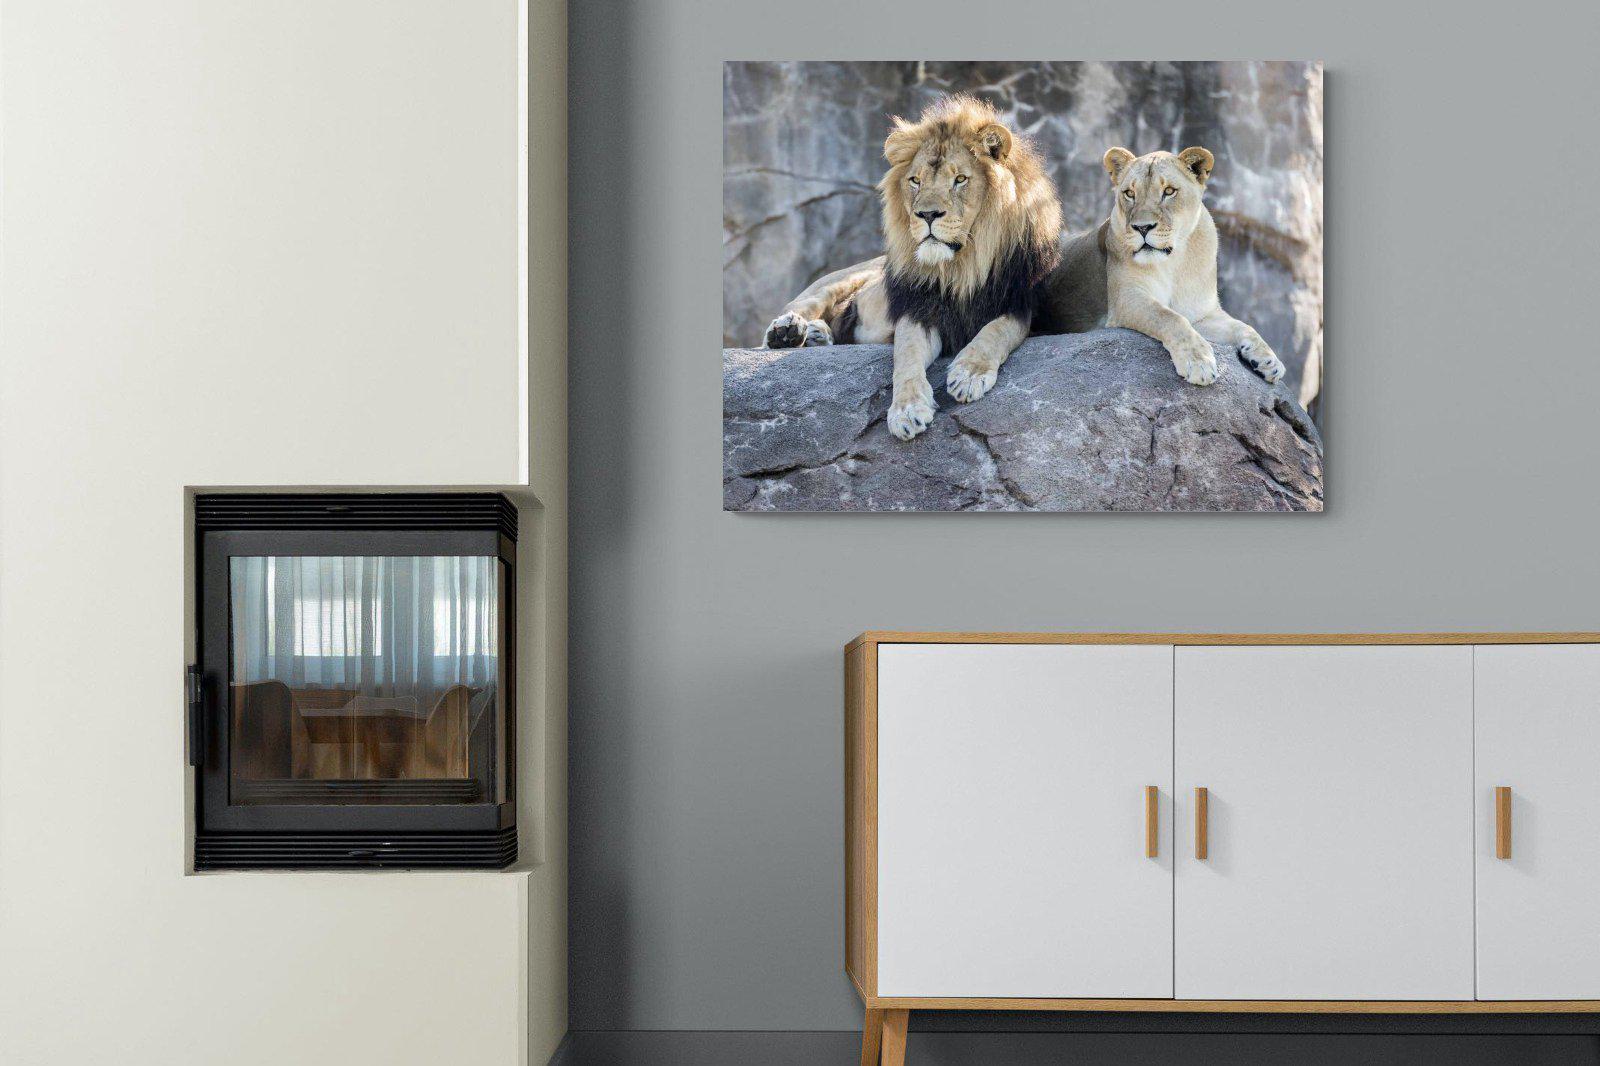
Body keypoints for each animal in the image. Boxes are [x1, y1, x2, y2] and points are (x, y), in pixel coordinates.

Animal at [760, 95, 1062, 440]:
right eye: (915, 181)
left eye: (960, 179)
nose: (927, 214)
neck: (961, 267)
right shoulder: (918, 310)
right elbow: (906, 355)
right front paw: (906, 410)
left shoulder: (1020, 305)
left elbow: (996, 331)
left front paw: (969, 374)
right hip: (837, 281)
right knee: (800, 308)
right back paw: (788, 332)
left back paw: (816, 335)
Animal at [1038, 146, 1286, 387]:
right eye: (1130, 193)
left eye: (1169, 191)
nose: (1142, 227)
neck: (1174, 262)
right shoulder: (1126, 299)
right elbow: (1169, 317)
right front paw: (1198, 361)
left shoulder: (1201, 313)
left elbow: (1243, 326)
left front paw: (1269, 360)